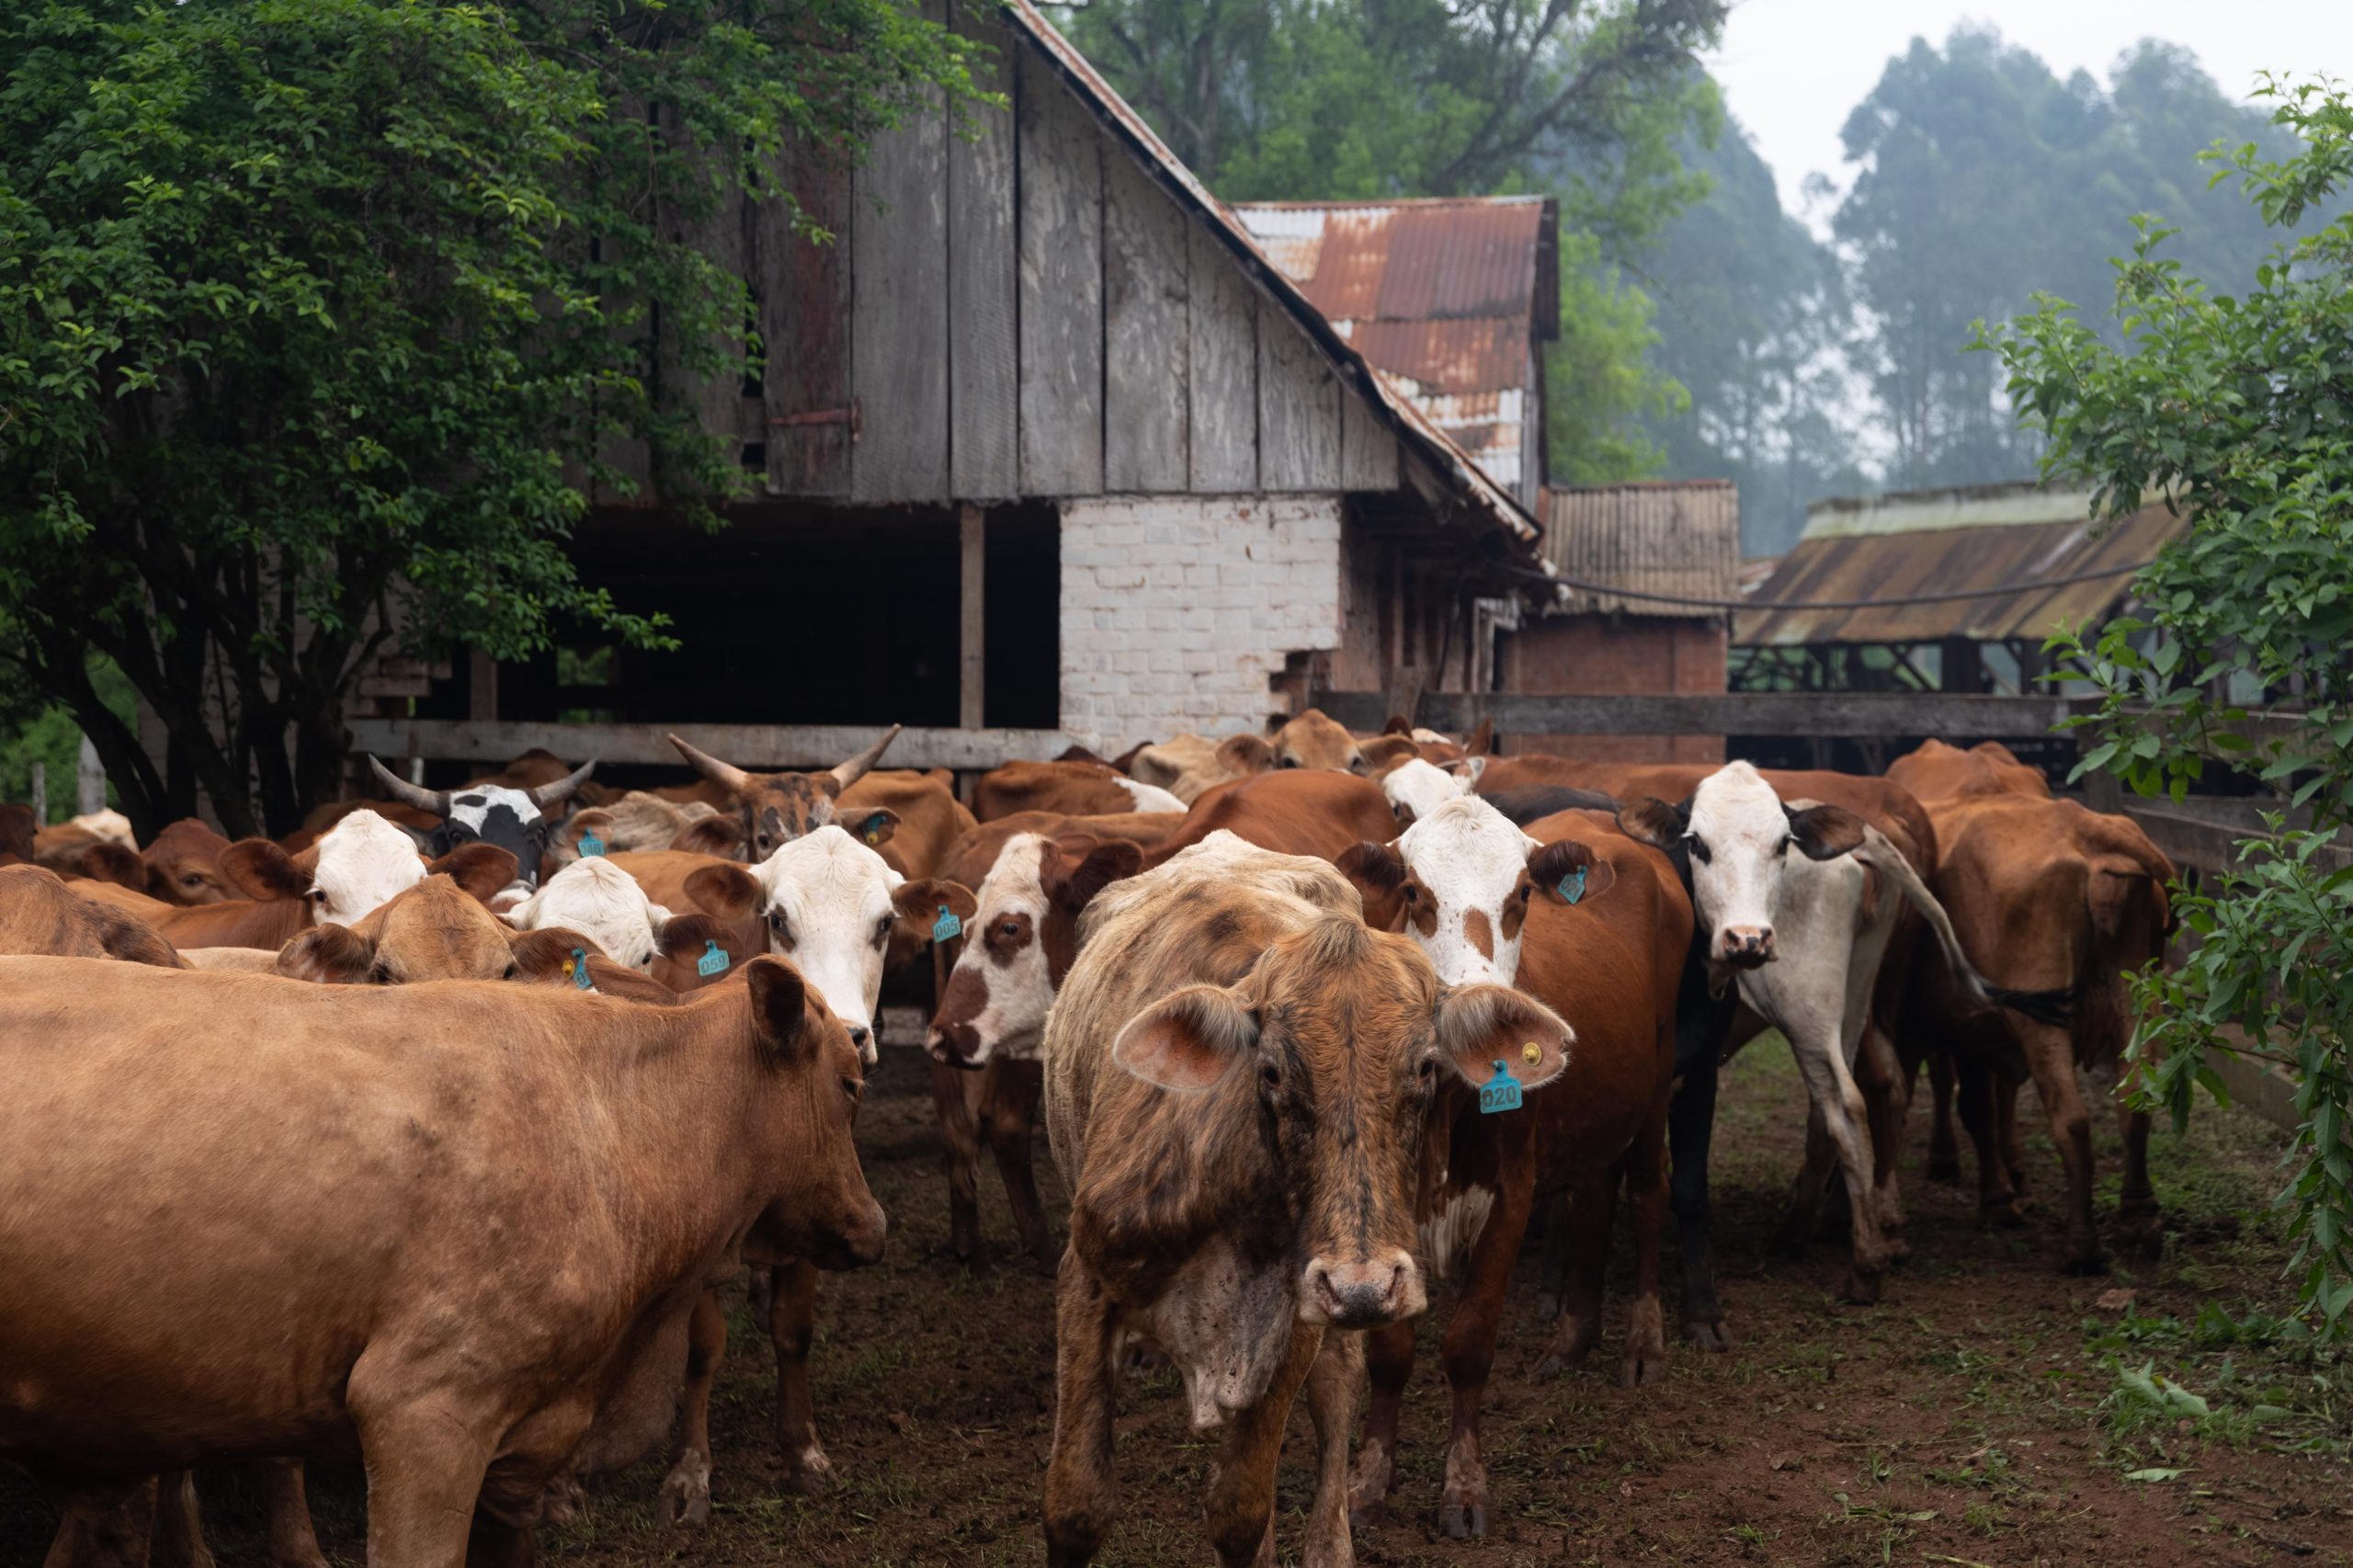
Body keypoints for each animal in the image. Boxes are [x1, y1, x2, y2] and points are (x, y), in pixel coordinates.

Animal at [1044, 837, 1562, 1562]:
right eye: (1270, 1071)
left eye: (1426, 1066)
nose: (1364, 1287)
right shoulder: (1085, 1284)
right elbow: (1077, 1507)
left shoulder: (1296, 1321)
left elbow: (1240, 1509)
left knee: (1338, 1400)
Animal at [1336, 800, 1684, 1535]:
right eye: (1413, 892)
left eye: (1522, 895)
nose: (1478, 1008)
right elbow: (1391, 1352)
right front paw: (1370, 1477)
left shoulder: (1511, 1199)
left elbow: (1469, 1343)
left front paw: (1464, 1486)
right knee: (1592, 1199)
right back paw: (1572, 1340)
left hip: (1656, 1088)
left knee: (1647, 1195)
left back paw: (1644, 1342)